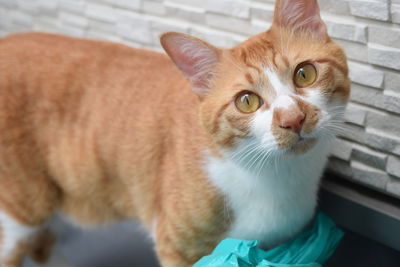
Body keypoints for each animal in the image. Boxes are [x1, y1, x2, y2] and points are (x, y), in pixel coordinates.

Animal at [0, 0, 350, 266]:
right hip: (24, 205)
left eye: (304, 74)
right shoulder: (177, 246)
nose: (293, 119)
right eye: (247, 101)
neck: (277, 177)